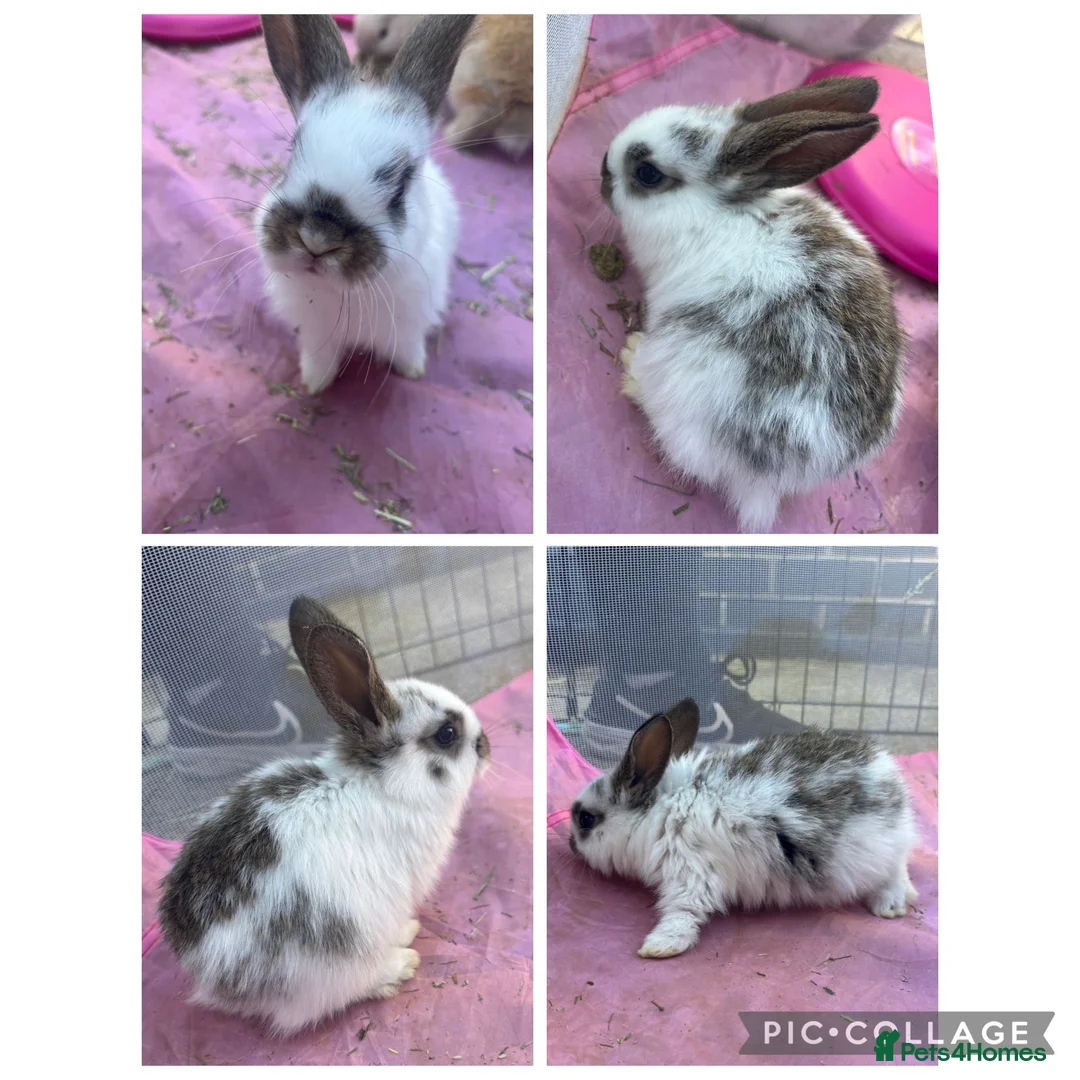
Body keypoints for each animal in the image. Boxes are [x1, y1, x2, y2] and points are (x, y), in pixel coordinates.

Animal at [255, 15, 475, 394]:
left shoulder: (409, 325)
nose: (317, 239)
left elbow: (407, 348)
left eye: (400, 186)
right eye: (292, 151)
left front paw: (413, 370)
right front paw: (314, 384)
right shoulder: (316, 335)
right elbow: (320, 360)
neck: (342, 294)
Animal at [568, 699, 917, 959]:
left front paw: (658, 946)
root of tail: (890, 775)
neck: (659, 810)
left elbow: (682, 911)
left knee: (895, 871)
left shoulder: (691, 873)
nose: (570, 844)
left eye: (585, 819)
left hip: (874, 854)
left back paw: (889, 905)